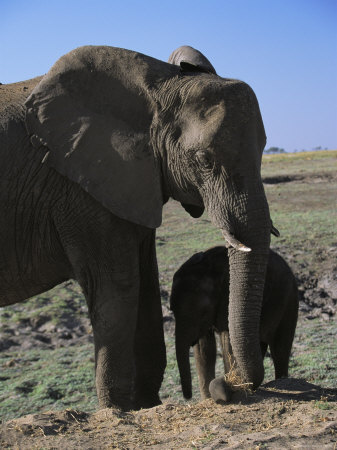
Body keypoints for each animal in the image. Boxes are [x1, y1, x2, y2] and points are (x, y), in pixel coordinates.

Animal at [0, 44, 270, 412]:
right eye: (204, 160)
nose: (229, 386)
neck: (160, 88)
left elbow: (145, 284)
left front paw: (146, 405)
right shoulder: (83, 188)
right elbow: (120, 285)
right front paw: (117, 409)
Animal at [169, 246, 298, 400]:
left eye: (204, 311)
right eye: (171, 309)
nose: (187, 396)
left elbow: (228, 343)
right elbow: (204, 349)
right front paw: (208, 399)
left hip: (289, 300)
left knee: (280, 350)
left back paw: (281, 380)